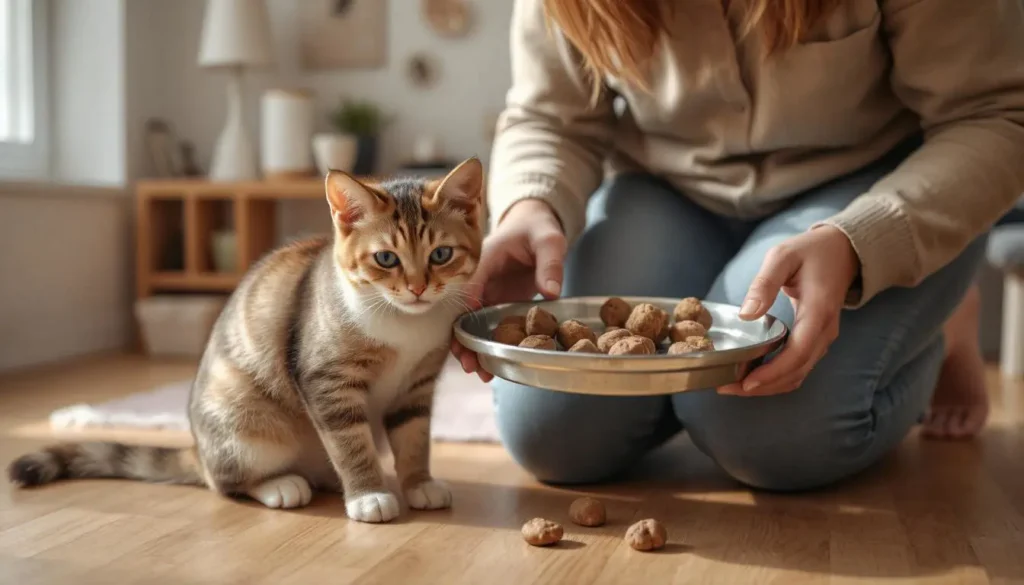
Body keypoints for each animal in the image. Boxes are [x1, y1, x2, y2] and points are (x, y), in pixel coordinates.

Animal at [4, 156, 483, 524]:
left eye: (441, 254)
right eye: (385, 258)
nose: (418, 288)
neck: (404, 324)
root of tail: (199, 450)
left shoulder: (417, 385)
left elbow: (414, 438)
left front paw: (419, 483)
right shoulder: (326, 380)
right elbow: (349, 442)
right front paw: (367, 495)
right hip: (247, 428)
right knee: (228, 483)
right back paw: (281, 486)